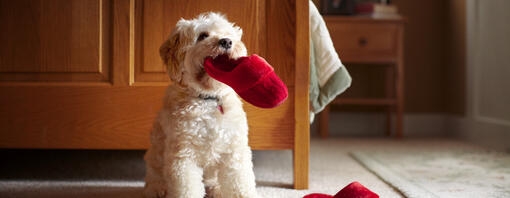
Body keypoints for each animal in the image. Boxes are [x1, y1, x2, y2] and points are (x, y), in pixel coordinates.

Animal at [144, 12, 260, 198]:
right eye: (203, 36)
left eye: (227, 33)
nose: (226, 41)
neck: (208, 99)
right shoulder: (183, 156)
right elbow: (187, 189)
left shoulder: (234, 152)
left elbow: (240, 185)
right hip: (155, 160)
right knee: (154, 178)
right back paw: (157, 189)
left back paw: (217, 190)